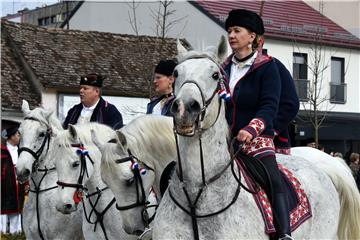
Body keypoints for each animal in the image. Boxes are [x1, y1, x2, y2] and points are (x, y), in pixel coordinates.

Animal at [16, 100, 83, 240]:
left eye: (41, 134)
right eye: (20, 132)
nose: (21, 171)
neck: (39, 192)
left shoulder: (62, 237)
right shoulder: (31, 237)